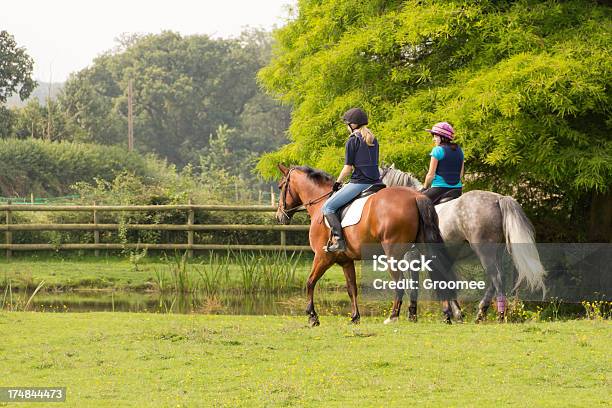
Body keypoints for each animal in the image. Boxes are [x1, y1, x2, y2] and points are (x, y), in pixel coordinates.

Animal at [274, 164, 462, 326]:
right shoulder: (346, 261)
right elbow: (352, 288)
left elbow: (310, 282)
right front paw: (355, 317)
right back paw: (447, 315)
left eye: (280, 186)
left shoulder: (323, 257)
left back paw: (393, 316)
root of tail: (416, 197)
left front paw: (312, 316)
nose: (279, 216)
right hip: (424, 248)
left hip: (393, 255)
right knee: (439, 272)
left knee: (401, 282)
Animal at [380, 165, 548, 322]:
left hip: (484, 251)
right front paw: (457, 314)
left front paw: (412, 315)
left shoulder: (411, 257)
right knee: (495, 280)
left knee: (496, 277)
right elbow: (446, 281)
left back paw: (499, 315)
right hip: (496, 252)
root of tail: (499, 199)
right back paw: (481, 313)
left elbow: (415, 285)